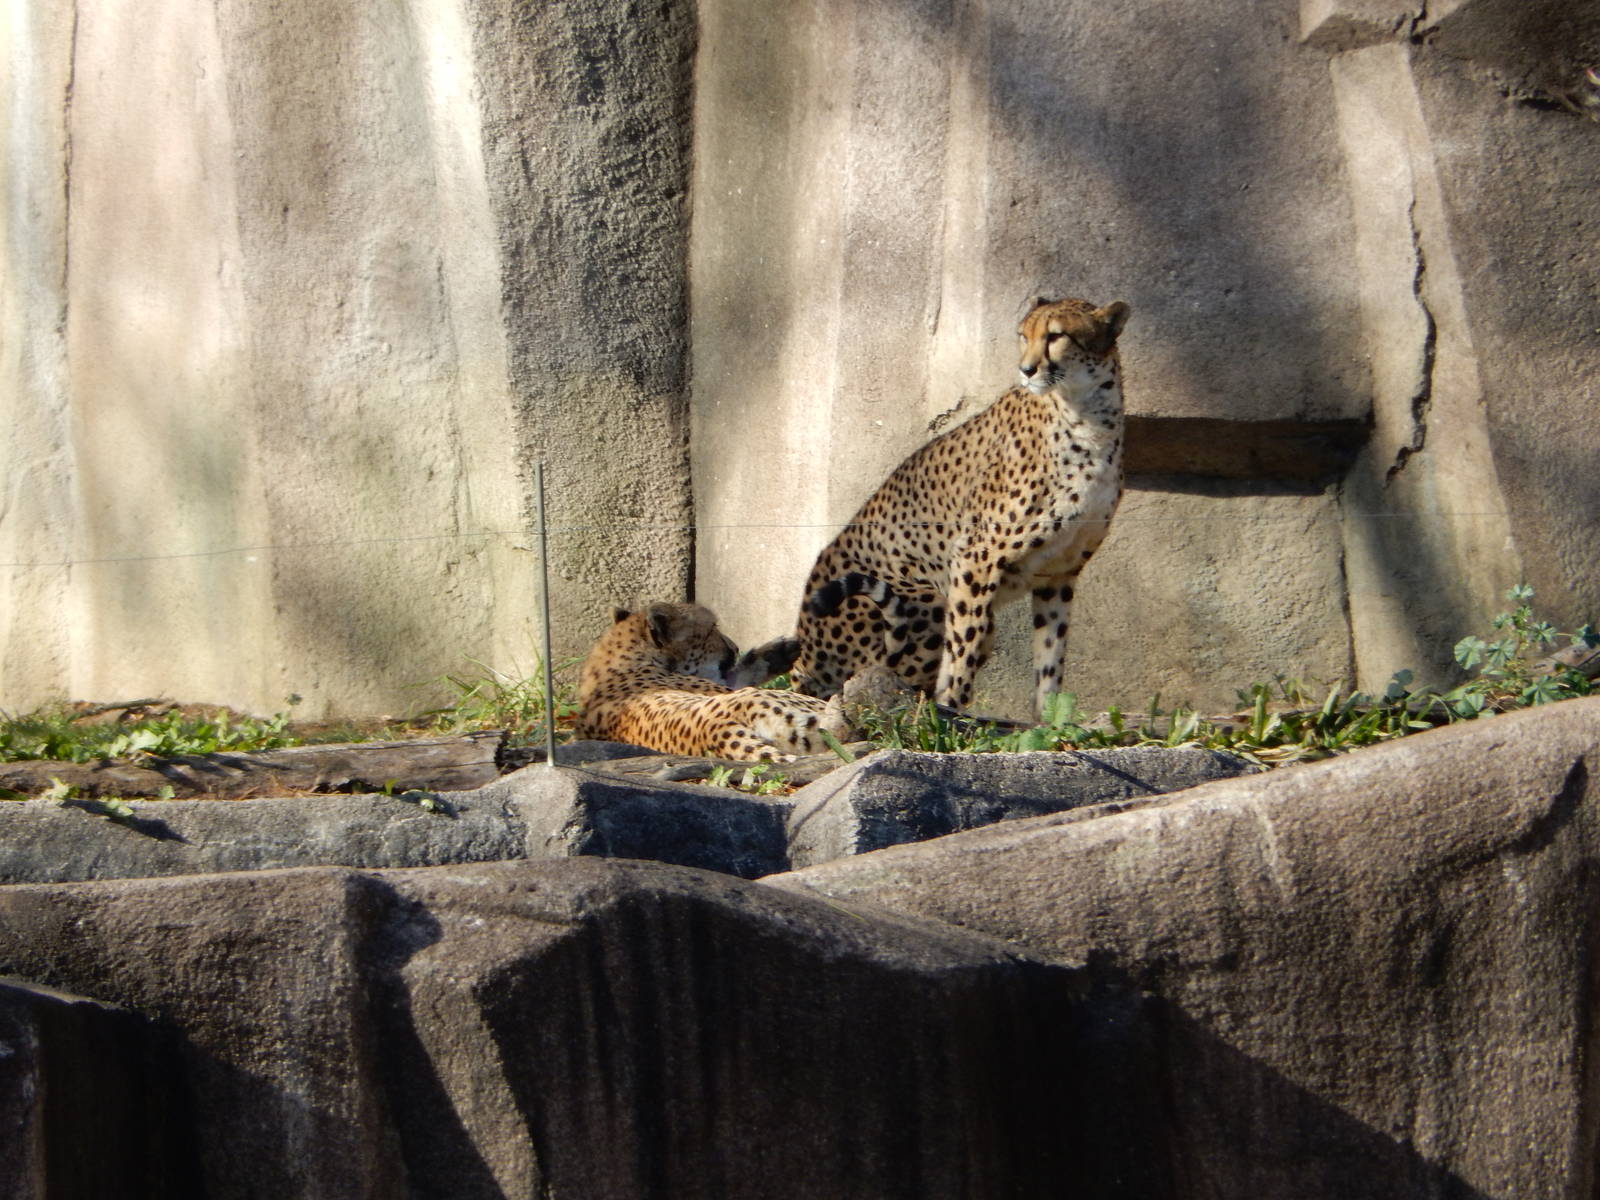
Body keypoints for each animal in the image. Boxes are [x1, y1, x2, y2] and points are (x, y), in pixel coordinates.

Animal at [791, 296, 1131, 718]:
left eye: (1056, 336)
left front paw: (1048, 719)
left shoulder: (1058, 573)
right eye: (1024, 336)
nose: (1026, 370)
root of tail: (804, 653)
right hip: (925, 601)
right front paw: (951, 708)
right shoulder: (975, 556)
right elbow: (962, 645)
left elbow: (1051, 655)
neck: (1088, 414)